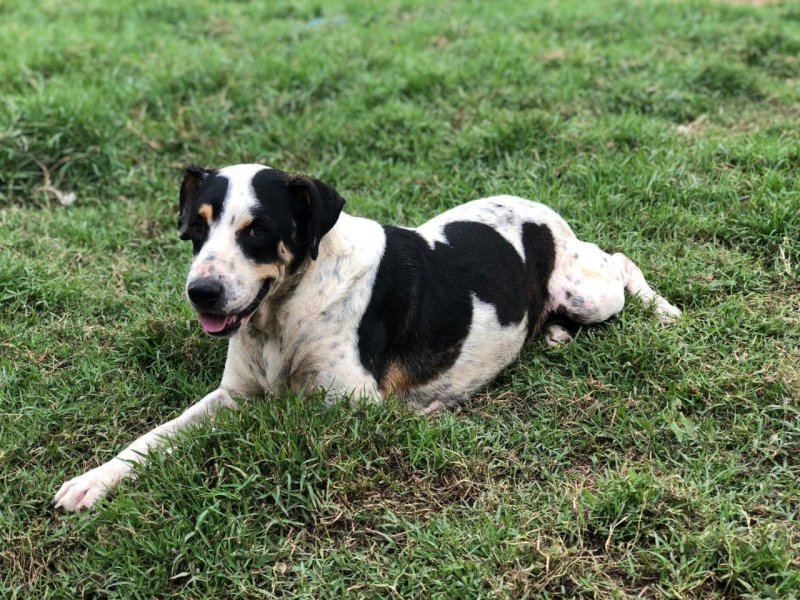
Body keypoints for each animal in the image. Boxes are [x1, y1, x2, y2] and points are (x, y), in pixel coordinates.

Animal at [54, 164, 680, 510]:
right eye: (197, 226)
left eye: (258, 230)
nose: (200, 292)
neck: (284, 313)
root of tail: (547, 213)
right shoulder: (235, 394)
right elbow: (157, 436)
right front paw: (93, 481)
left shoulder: (346, 406)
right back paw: (552, 333)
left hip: (589, 290)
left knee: (620, 260)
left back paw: (664, 308)